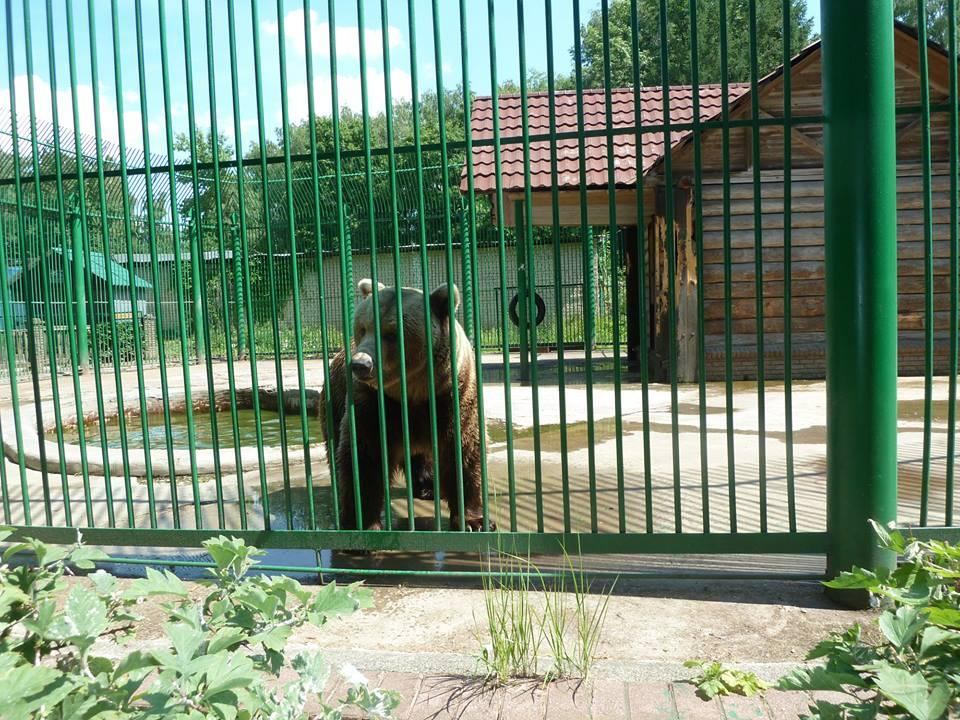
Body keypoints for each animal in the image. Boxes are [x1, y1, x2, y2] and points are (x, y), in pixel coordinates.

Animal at [318, 278, 492, 532]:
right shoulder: (373, 403)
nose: (361, 364)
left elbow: (464, 450)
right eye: (363, 328)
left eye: (391, 333)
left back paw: (428, 486)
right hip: (336, 399)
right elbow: (364, 457)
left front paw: (475, 521)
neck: (413, 391)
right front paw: (362, 522)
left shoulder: (453, 396)